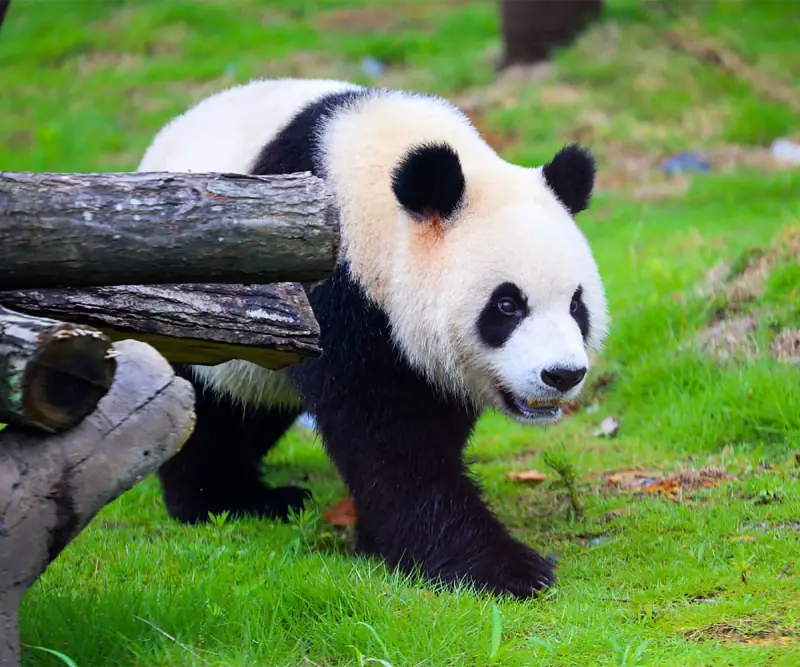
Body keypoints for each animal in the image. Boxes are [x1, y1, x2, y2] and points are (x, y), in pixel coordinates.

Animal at [137, 77, 610, 598]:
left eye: (576, 304)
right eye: (508, 305)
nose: (562, 374)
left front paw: (380, 538)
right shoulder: (331, 288)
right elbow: (387, 433)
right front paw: (501, 568)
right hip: (190, 309)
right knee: (202, 402)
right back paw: (224, 500)